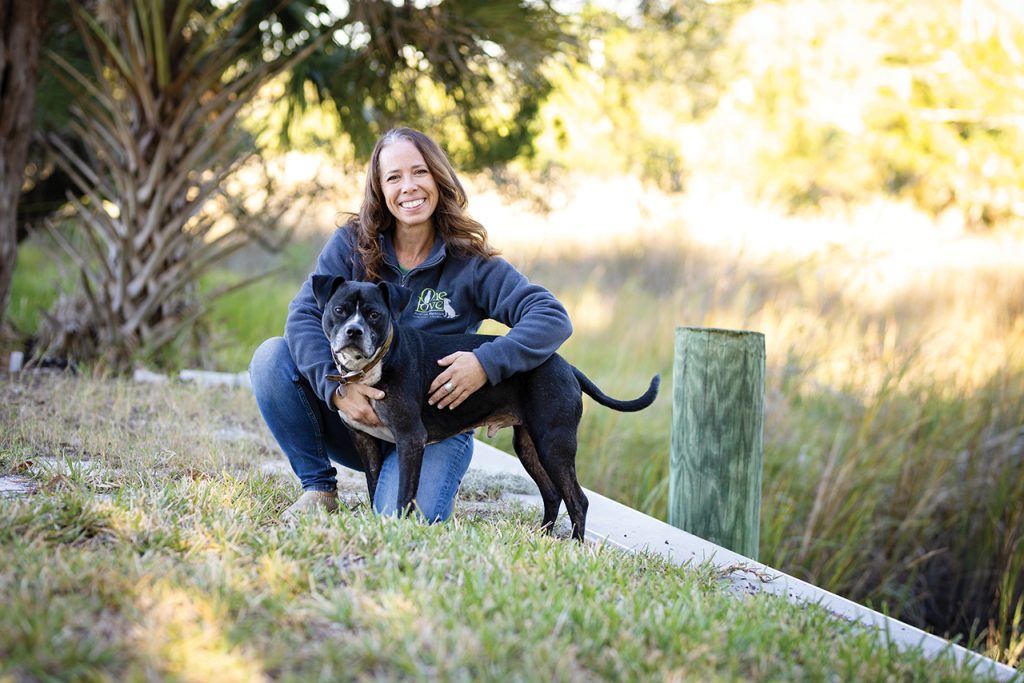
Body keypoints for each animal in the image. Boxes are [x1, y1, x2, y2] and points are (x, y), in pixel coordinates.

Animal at [311, 274, 659, 540]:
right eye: (339, 310)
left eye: (374, 315)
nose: (353, 331)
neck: (374, 364)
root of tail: (565, 365)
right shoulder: (366, 442)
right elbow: (374, 491)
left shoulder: (410, 439)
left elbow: (403, 496)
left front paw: (398, 529)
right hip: (529, 445)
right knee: (552, 494)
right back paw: (543, 539)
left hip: (554, 443)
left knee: (577, 499)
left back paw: (574, 546)